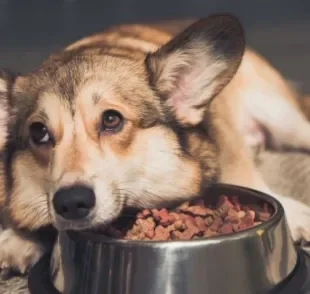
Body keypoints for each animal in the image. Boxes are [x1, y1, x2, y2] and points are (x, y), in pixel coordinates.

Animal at [0, 13, 310, 290]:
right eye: (39, 132)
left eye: (111, 119)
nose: (71, 203)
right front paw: (17, 239)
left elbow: (241, 169)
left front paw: (294, 215)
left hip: (284, 118)